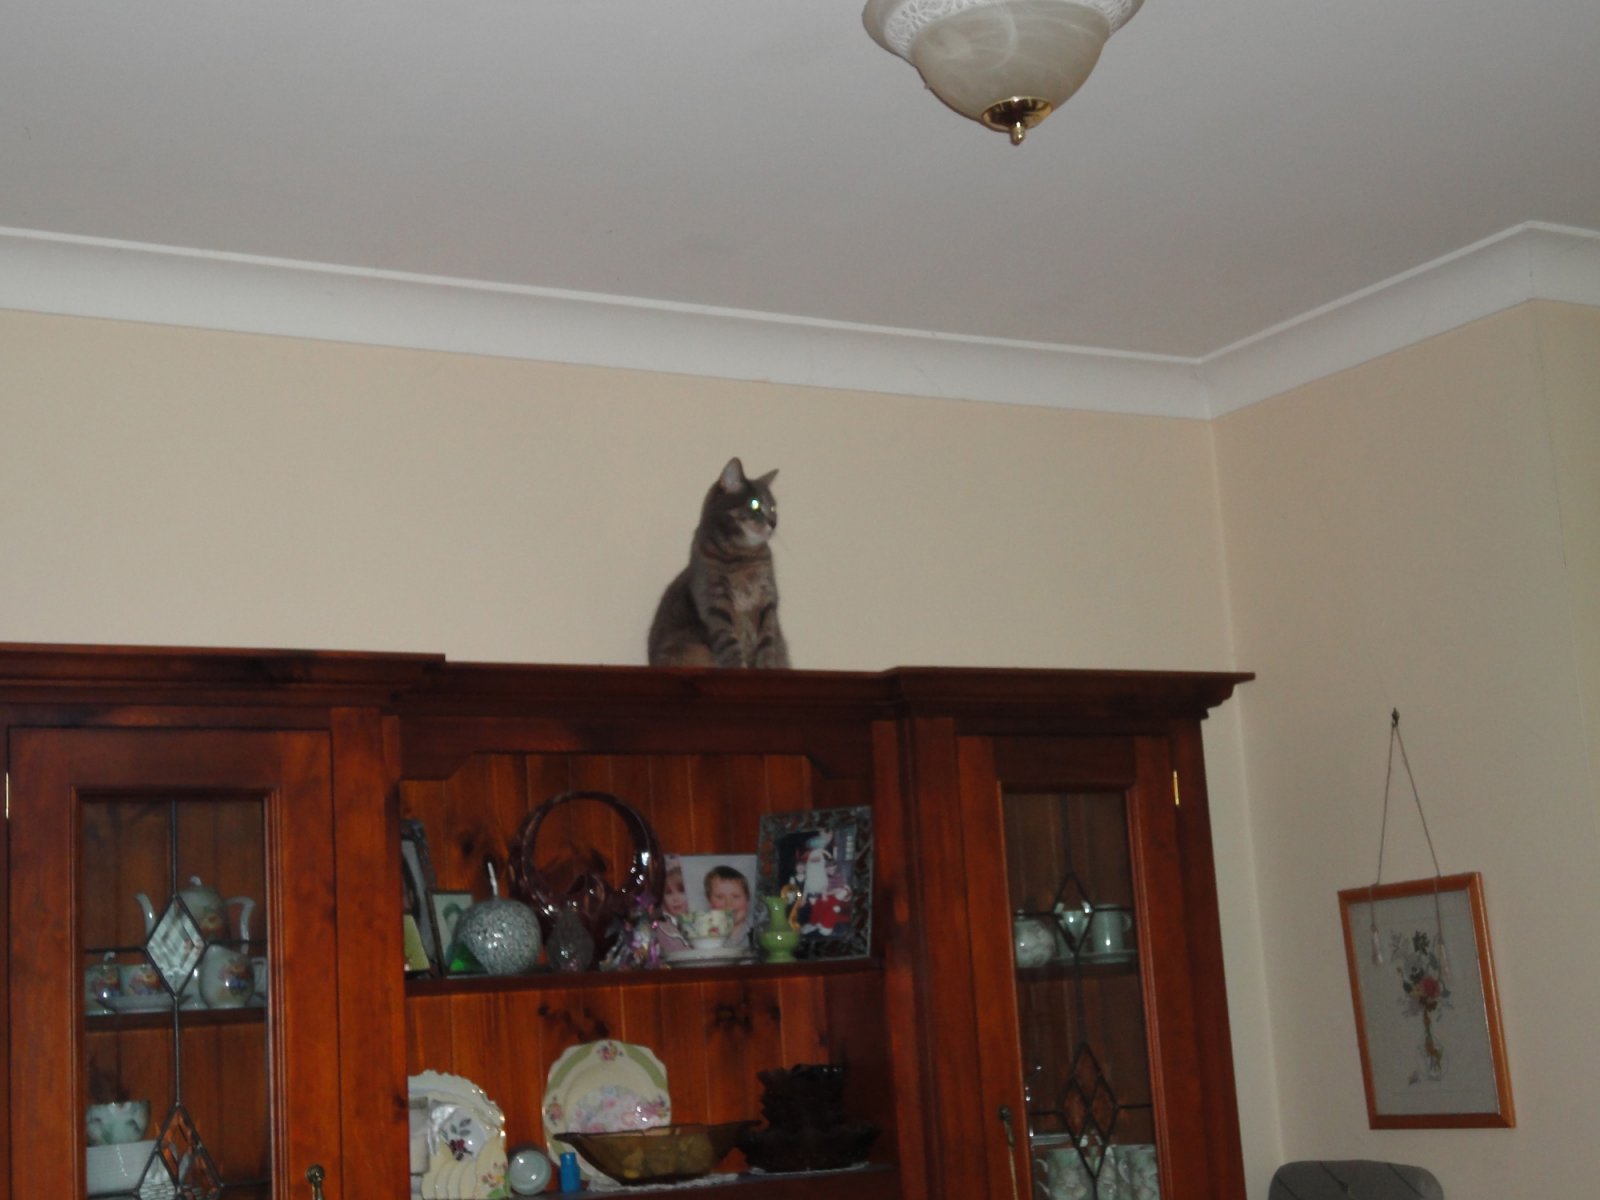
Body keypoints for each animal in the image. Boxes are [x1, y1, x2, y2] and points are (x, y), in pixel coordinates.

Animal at [646, 457, 790, 672]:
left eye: (773, 508)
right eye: (755, 504)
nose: (773, 522)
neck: (743, 556)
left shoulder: (767, 601)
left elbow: (768, 641)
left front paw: (767, 667)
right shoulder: (716, 602)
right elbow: (729, 643)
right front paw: (739, 667)